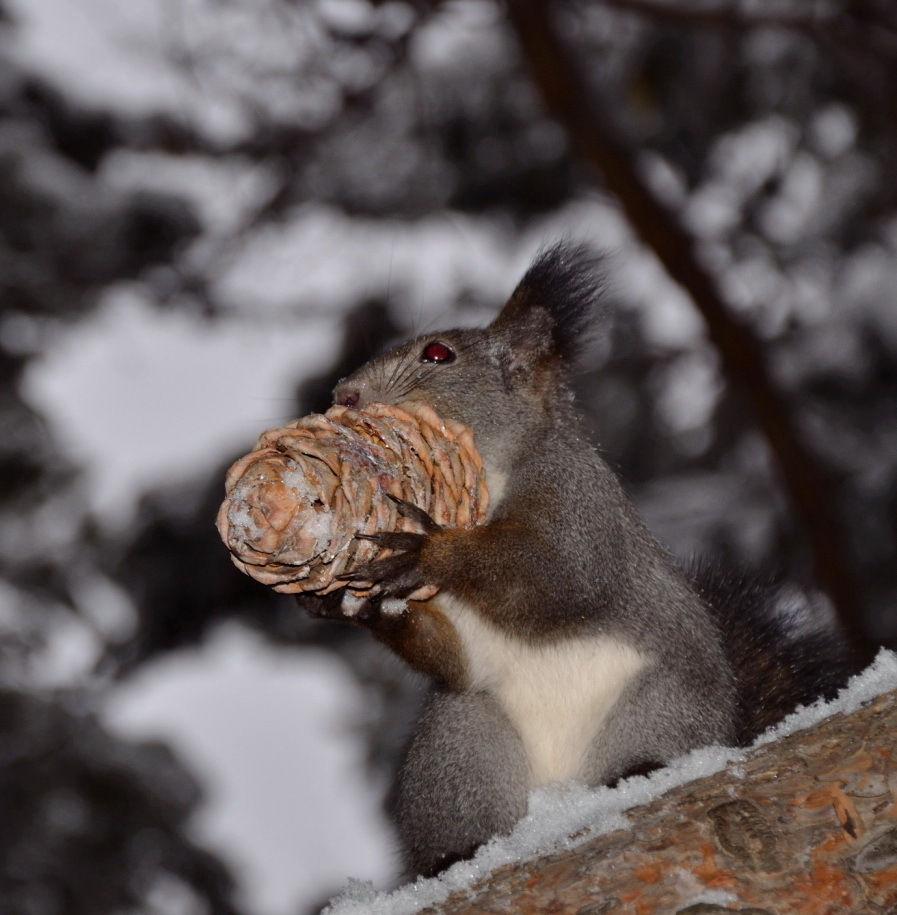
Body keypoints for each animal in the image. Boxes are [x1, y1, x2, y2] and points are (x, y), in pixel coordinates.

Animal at [298, 242, 856, 880]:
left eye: (438, 354)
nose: (343, 394)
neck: (491, 473)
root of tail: (558, 798)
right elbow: (454, 657)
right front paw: (351, 606)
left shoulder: (579, 503)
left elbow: (558, 579)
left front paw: (432, 548)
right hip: (461, 746)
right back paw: (458, 857)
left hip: (661, 708)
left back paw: (638, 773)